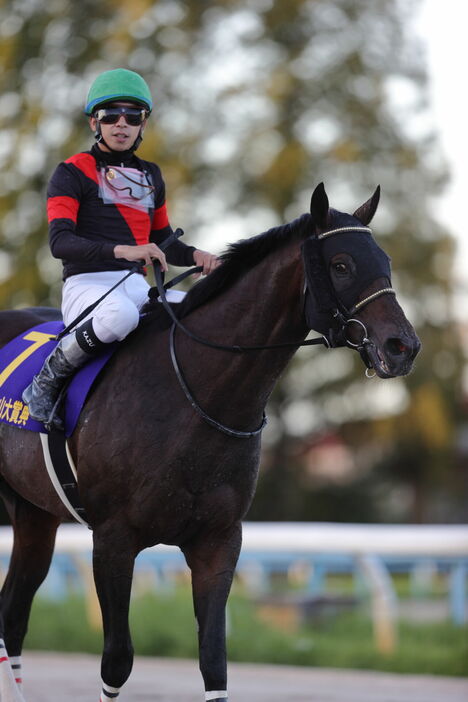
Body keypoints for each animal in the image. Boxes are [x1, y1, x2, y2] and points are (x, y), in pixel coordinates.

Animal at [0, 184, 420, 700]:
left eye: (384, 260)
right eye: (341, 264)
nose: (403, 346)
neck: (196, 395)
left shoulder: (218, 539)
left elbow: (214, 659)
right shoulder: (113, 538)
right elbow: (117, 660)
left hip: (34, 514)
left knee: (13, 615)